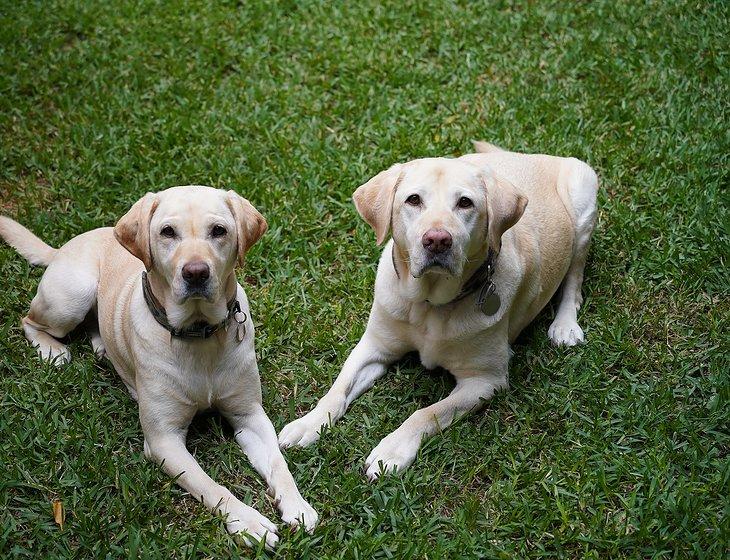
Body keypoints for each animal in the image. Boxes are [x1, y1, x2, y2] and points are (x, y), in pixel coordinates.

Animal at [1, 187, 318, 548]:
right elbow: (209, 486)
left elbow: (278, 463)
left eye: (219, 231)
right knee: (28, 321)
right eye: (168, 232)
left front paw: (297, 505)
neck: (199, 334)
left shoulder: (249, 414)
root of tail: (68, 245)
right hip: (71, 297)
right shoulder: (164, 440)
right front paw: (247, 520)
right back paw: (52, 350)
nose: (196, 272)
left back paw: (101, 347)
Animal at [278, 142, 596, 480]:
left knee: (574, 278)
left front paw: (392, 450)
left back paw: (565, 325)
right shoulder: (374, 347)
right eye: (413, 199)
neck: (429, 304)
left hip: (583, 202)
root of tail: (526, 155)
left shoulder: (485, 380)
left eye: (465, 203)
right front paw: (308, 424)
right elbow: (338, 388)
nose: (438, 240)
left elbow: (427, 413)